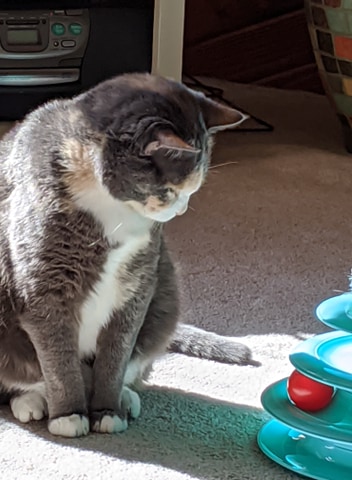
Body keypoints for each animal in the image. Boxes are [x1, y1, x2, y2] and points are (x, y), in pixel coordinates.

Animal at [0, 73, 253, 436]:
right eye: (169, 190)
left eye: (192, 190)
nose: (181, 209)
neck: (113, 212)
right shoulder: (44, 287)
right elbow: (57, 359)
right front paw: (69, 416)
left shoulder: (138, 284)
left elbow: (117, 354)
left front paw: (108, 411)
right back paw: (32, 401)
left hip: (166, 290)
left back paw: (125, 397)